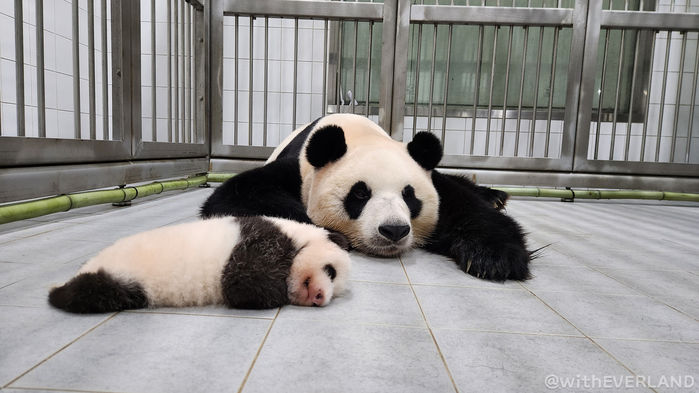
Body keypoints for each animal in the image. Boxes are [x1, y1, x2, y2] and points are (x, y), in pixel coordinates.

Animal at [202, 112, 532, 280]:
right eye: (359, 194)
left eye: (410, 196)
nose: (394, 230)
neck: (358, 134)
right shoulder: (301, 169)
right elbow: (237, 195)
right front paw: (329, 235)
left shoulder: (426, 174)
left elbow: (463, 204)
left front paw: (494, 258)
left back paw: (496, 195)